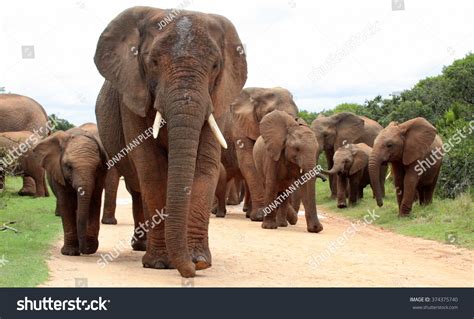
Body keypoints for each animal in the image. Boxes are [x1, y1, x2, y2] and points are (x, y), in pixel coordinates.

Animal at [33, 126, 108, 256]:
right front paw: (70, 252)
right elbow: (66, 204)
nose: (84, 251)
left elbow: (94, 202)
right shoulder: (58, 172)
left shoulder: (101, 175)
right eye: (68, 167)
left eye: (97, 168)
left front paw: (89, 249)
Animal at [94, 6, 246, 278]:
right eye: (153, 63)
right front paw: (160, 264)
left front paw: (199, 261)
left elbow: (204, 164)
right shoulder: (133, 95)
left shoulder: (217, 100)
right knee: (137, 188)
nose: (191, 271)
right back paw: (141, 248)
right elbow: (151, 167)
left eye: (216, 65)